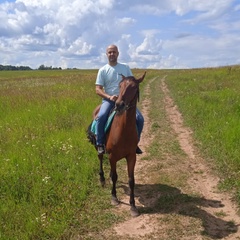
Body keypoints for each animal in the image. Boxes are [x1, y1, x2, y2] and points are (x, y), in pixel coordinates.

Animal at [87, 72, 145, 217]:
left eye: (134, 87)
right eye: (120, 85)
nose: (119, 104)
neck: (123, 130)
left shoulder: (131, 156)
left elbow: (131, 180)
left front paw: (133, 206)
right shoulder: (112, 156)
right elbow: (114, 177)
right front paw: (114, 197)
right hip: (98, 147)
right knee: (100, 158)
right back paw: (102, 178)